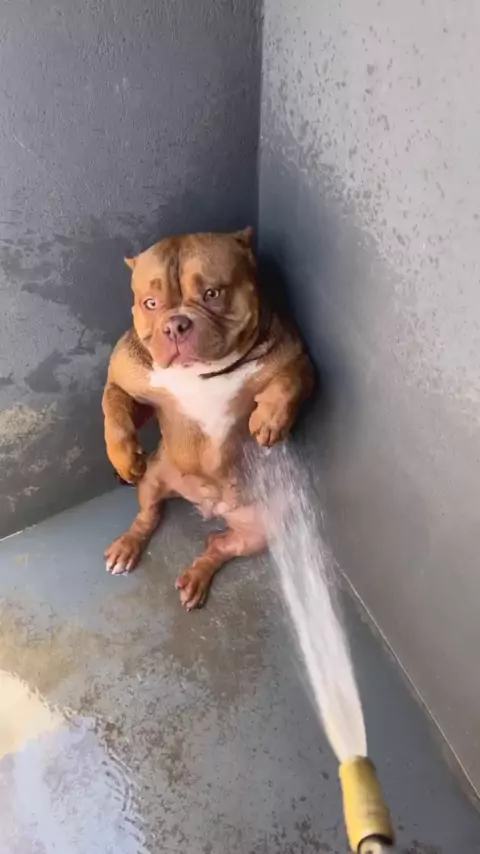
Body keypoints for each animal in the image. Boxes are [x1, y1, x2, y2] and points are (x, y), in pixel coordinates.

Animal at [102, 228, 314, 609]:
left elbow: (289, 382)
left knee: (219, 546)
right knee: (149, 514)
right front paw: (124, 458)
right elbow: (114, 412)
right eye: (150, 303)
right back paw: (128, 546)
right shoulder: (128, 385)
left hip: (261, 529)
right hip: (155, 477)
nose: (175, 325)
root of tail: (209, 506)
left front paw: (269, 420)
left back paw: (196, 577)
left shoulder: (298, 359)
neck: (199, 373)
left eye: (212, 294)